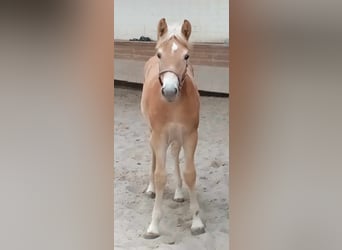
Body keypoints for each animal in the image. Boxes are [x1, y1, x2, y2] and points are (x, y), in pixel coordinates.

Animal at [140, 18, 204, 238]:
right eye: (160, 54)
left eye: (186, 56)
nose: (169, 90)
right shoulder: (159, 136)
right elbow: (160, 176)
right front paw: (153, 226)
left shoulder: (191, 135)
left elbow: (190, 174)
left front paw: (197, 222)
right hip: (152, 133)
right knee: (153, 157)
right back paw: (150, 189)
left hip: (177, 136)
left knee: (175, 154)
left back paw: (178, 192)